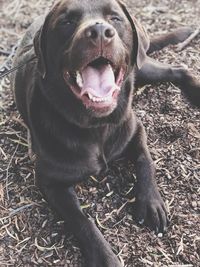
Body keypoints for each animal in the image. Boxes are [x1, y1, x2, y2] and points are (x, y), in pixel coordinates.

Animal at [11, 0, 200, 267]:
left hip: (141, 66)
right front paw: (105, 257)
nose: (100, 31)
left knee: (178, 69)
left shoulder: (135, 129)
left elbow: (146, 161)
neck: (96, 126)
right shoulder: (49, 181)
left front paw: (150, 202)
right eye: (66, 22)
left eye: (115, 18)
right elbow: (81, 220)